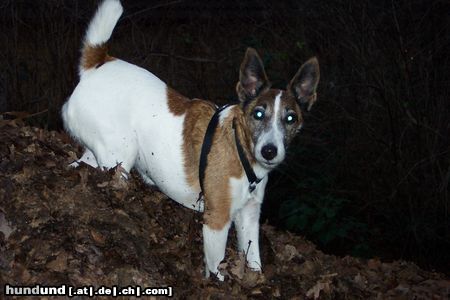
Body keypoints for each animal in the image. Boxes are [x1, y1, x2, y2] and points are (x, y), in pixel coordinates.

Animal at [62, 0, 320, 282]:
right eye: (258, 114)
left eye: (291, 118)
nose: (270, 151)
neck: (240, 148)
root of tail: (97, 64)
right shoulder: (217, 220)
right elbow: (217, 267)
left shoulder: (249, 218)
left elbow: (253, 262)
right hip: (120, 155)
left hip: (101, 149)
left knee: (79, 164)